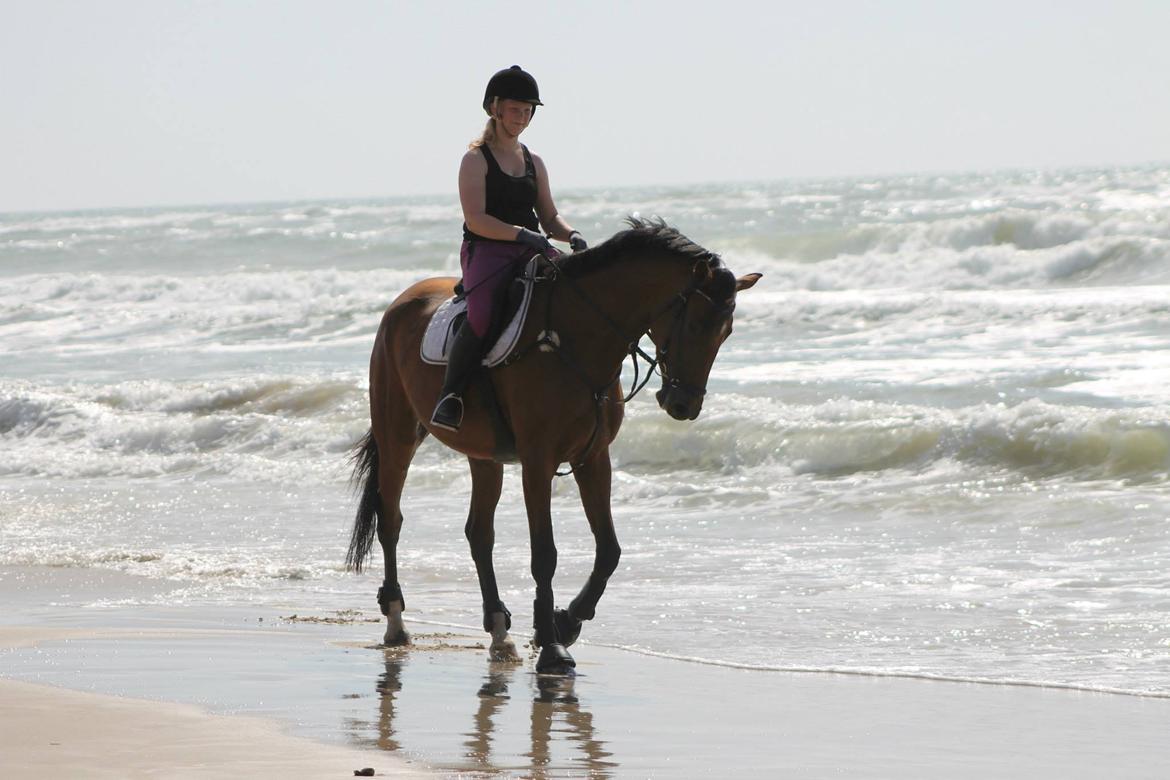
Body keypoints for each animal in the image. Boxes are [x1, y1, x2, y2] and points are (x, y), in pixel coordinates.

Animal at [341, 216, 762, 673]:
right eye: (697, 324)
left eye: (727, 332)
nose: (683, 405)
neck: (576, 335)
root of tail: (402, 301)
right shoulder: (537, 460)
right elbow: (544, 553)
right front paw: (552, 646)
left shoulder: (593, 457)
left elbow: (609, 550)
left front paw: (566, 622)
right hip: (397, 434)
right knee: (391, 520)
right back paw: (396, 622)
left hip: (483, 455)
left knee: (479, 533)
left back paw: (499, 630)